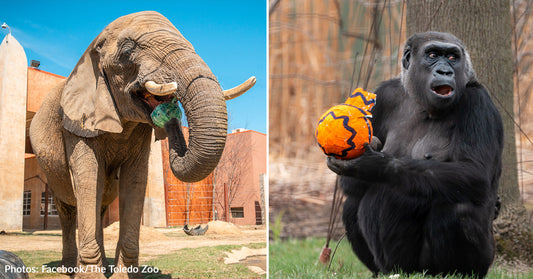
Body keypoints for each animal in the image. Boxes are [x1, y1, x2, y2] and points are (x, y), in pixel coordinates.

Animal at [29, 10, 256, 279]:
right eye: (128, 51)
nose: (170, 112)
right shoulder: (75, 127)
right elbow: (88, 179)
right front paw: (91, 277)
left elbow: (135, 180)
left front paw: (122, 276)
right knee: (67, 209)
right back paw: (67, 268)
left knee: (100, 207)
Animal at [328, 32, 502, 278]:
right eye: (433, 55)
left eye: (452, 57)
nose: (445, 71)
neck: (422, 104)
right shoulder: (384, 96)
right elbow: (350, 185)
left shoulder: (478, 102)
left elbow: (473, 172)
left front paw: (374, 165)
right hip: (396, 266)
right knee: (351, 203)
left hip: (463, 264)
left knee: (459, 209)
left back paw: (455, 272)